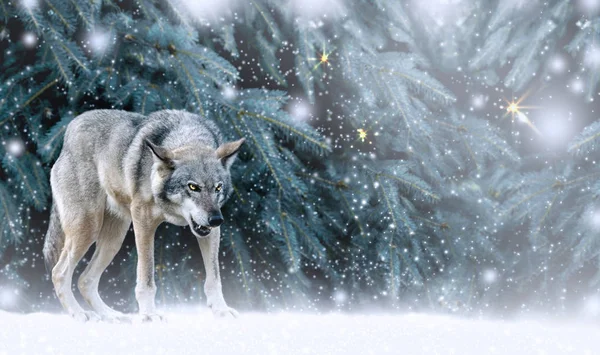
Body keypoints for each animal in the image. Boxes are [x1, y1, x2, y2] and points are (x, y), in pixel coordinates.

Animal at [41, 109, 244, 322]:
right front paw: (149, 315)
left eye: (218, 188)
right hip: (88, 229)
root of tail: (70, 130)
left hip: (113, 241)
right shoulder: (143, 223)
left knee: (84, 280)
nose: (216, 219)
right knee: (59, 273)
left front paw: (221, 311)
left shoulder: (211, 231)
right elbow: (146, 277)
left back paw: (112, 316)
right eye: (193, 187)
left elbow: (214, 278)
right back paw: (80, 313)